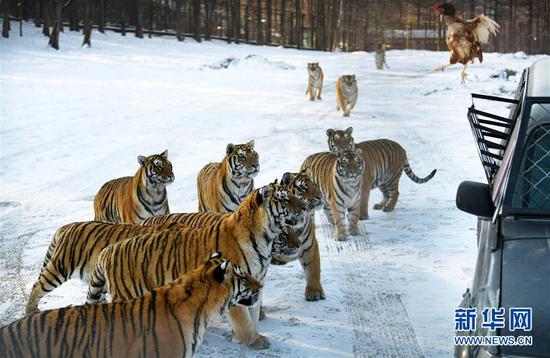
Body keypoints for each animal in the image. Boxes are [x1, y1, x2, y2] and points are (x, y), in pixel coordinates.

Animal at [88, 183, 308, 352]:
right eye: (285, 199)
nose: (306, 206)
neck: (265, 239)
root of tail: (108, 250)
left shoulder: (256, 283)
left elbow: (252, 314)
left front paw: (254, 337)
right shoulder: (234, 284)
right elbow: (244, 320)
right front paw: (252, 341)